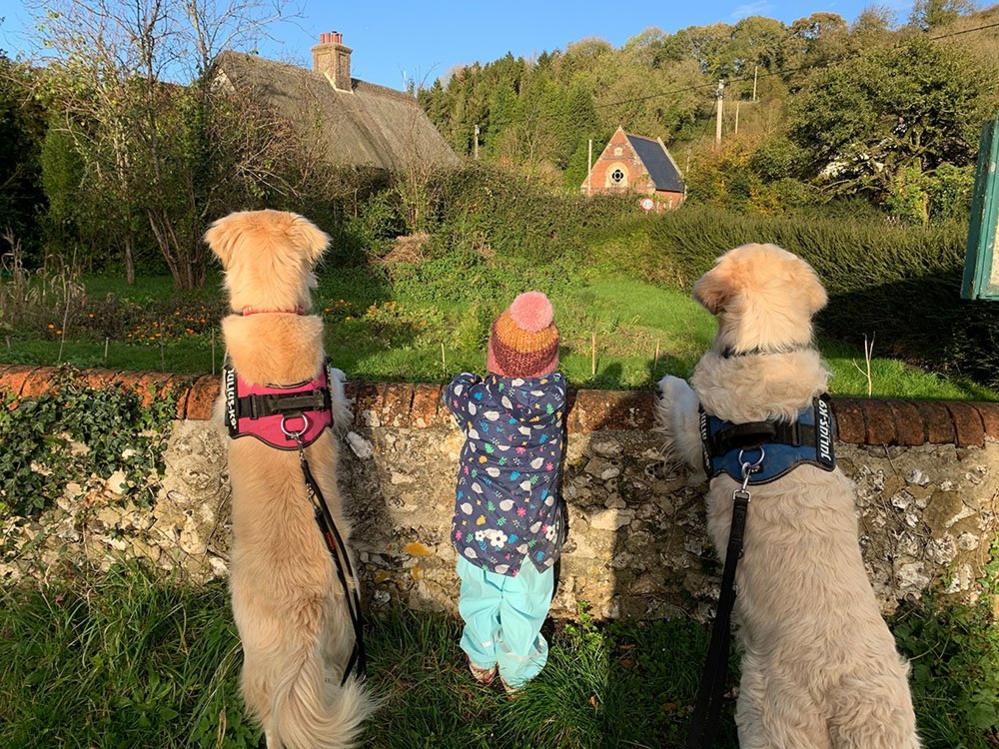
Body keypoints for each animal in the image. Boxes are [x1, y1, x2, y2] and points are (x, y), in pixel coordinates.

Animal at [656, 243, 920, 744]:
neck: (766, 348)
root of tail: (843, 692)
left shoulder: (701, 432)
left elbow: (683, 401)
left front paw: (666, 382)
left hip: (767, 711)